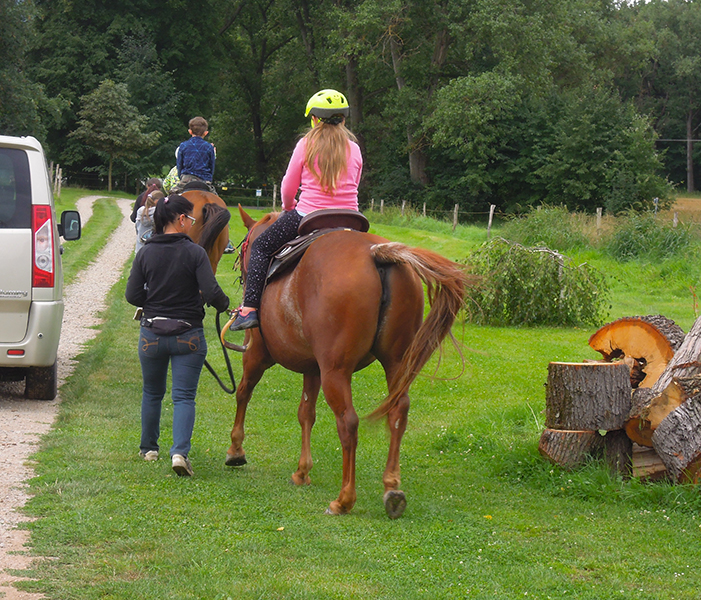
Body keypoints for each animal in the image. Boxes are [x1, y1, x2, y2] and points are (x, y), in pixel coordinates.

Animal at [221, 209, 474, 516]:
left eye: (244, 247)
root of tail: (376, 253)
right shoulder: (312, 369)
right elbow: (306, 414)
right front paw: (302, 472)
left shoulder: (256, 355)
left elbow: (243, 393)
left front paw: (236, 450)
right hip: (395, 363)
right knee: (398, 411)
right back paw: (392, 488)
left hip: (336, 371)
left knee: (348, 423)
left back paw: (344, 499)